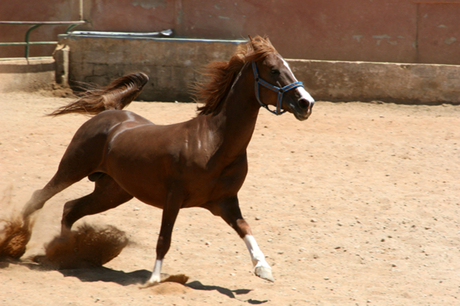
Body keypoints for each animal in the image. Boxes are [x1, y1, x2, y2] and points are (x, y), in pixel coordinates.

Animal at [20, 35, 312, 284]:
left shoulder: (226, 202)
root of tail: (110, 112)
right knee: (39, 198)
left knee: (70, 208)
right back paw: (20, 241)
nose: (306, 103)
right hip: (73, 168)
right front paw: (153, 279)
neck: (214, 143)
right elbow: (164, 238)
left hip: (112, 192)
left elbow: (246, 229)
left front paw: (264, 269)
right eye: (274, 70)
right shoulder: (173, 198)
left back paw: (65, 253)